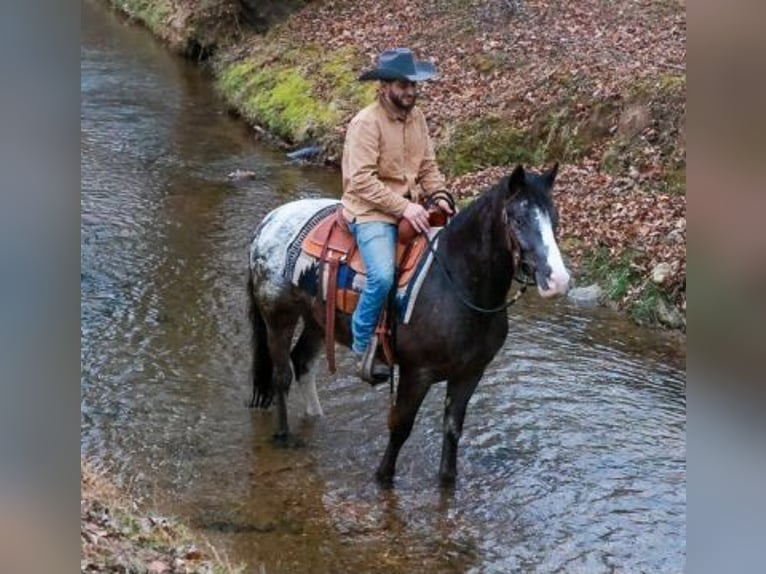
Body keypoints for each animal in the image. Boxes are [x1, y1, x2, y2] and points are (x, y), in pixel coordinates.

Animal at [246, 164, 570, 486]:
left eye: (555, 218)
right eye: (519, 219)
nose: (558, 280)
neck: (457, 283)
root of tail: (269, 221)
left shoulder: (470, 373)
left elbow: (452, 429)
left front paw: (447, 482)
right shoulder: (417, 373)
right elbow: (401, 426)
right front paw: (383, 478)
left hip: (317, 320)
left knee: (302, 362)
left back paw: (316, 419)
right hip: (279, 317)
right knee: (282, 376)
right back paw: (284, 436)